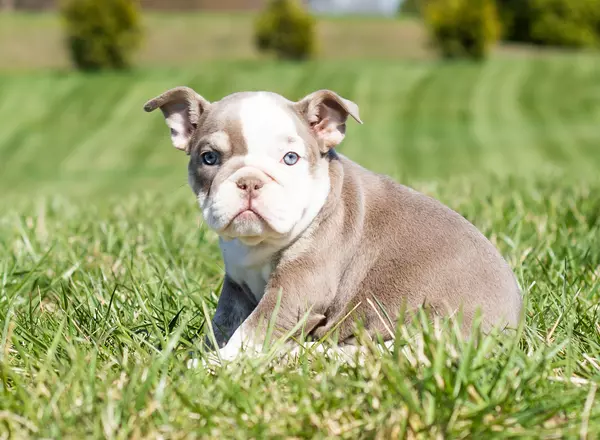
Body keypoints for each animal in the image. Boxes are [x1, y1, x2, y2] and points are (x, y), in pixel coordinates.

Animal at [144, 87, 520, 360]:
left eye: (290, 159)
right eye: (209, 158)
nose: (250, 181)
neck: (260, 245)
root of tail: (509, 328)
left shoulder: (297, 289)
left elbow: (253, 330)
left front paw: (214, 364)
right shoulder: (236, 287)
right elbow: (224, 323)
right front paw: (203, 349)